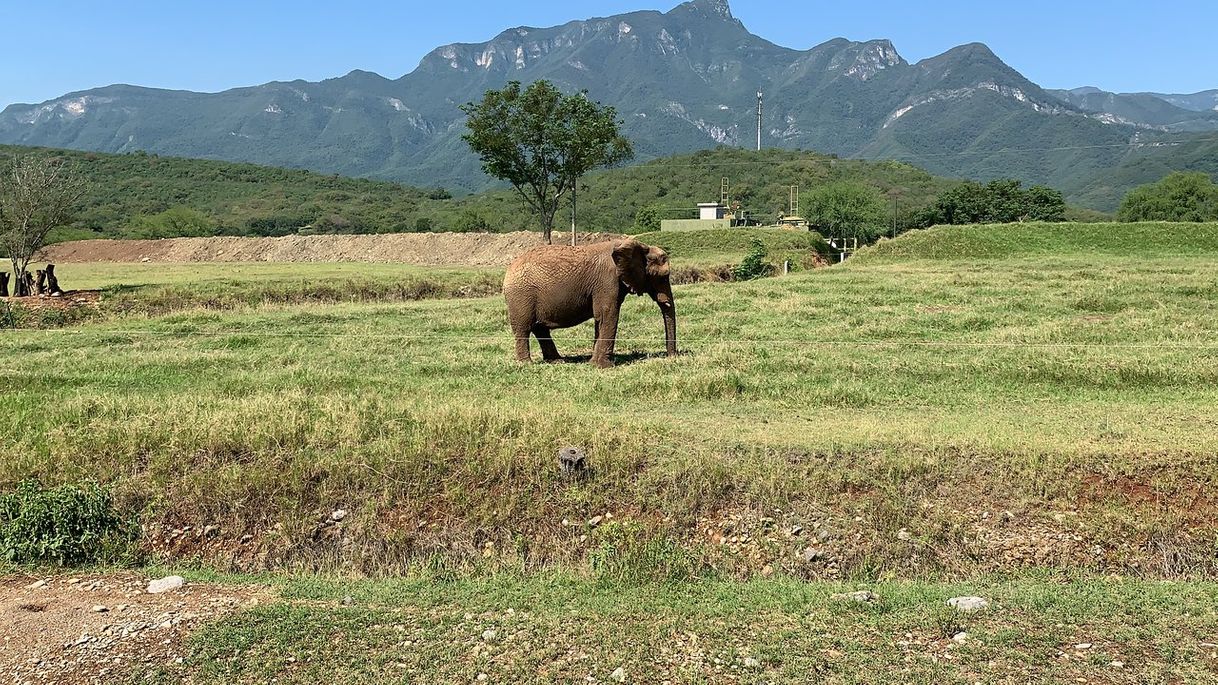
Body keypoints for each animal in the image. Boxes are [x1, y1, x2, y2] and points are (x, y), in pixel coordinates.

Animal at [501, 240, 677, 368]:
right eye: (663, 277)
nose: (671, 357)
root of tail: (508, 271)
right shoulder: (607, 282)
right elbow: (608, 315)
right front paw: (605, 367)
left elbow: (601, 318)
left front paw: (593, 364)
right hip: (521, 296)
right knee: (524, 329)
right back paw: (526, 364)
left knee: (540, 329)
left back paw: (557, 361)